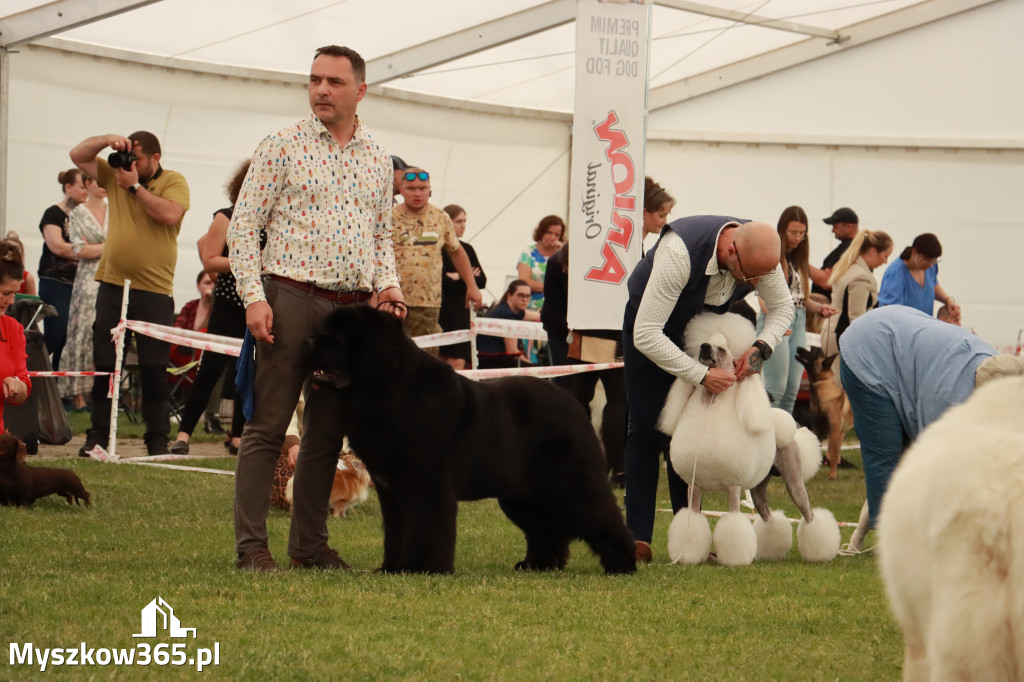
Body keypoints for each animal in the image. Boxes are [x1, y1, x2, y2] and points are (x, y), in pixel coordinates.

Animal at [307, 303, 634, 573]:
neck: (389, 390)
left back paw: (624, 563)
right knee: (545, 526)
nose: (308, 342)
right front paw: (390, 568)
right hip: (523, 493)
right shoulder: (392, 492)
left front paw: (420, 568)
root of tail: (572, 403)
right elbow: (396, 531)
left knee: (601, 514)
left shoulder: (427, 485)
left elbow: (424, 528)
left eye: (340, 335)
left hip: (573, 481)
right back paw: (538, 564)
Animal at [794, 346, 851, 477]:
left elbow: (834, 456)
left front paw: (832, 476)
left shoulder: (834, 433)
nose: (798, 347)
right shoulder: (817, 431)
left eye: (814, 353)